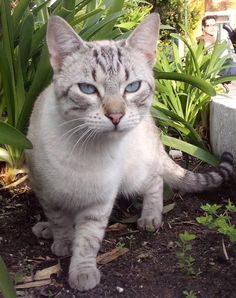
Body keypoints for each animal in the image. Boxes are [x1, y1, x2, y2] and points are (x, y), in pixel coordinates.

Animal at [25, 14, 232, 292]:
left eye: (132, 87)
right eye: (88, 89)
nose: (116, 116)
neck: (85, 147)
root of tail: (154, 128)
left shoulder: (100, 201)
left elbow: (88, 240)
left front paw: (82, 272)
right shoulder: (47, 193)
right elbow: (60, 222)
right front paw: (62, 242)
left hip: (135, 175)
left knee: (156, 181)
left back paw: (150, 218)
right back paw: (45, 229)